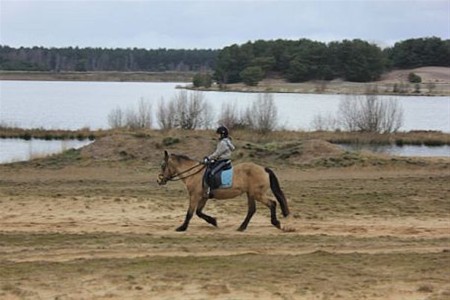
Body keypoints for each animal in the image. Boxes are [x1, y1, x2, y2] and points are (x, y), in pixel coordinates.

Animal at [156, 150, 290, 232]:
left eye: (163, 165)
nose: (159, 180)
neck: (193, 173)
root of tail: (264, 169)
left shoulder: (194, 196)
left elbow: (190, 213)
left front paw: (182, 227)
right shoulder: (203, 197)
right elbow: (199, 212)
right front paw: (213, 221)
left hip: (257, 194)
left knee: (272, 203)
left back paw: (275, 223)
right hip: (251, 194)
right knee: (252, 210)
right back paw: (242, 227)